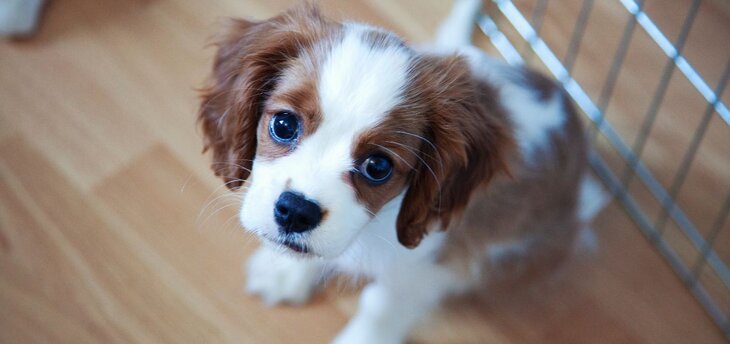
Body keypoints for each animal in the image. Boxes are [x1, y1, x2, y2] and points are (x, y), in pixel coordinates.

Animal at [198, 1, 604, 342]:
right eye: (283, 124)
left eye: (377, 167)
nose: (296, 211)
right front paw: (284, 271)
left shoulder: (429, 269)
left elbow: (381, 307)